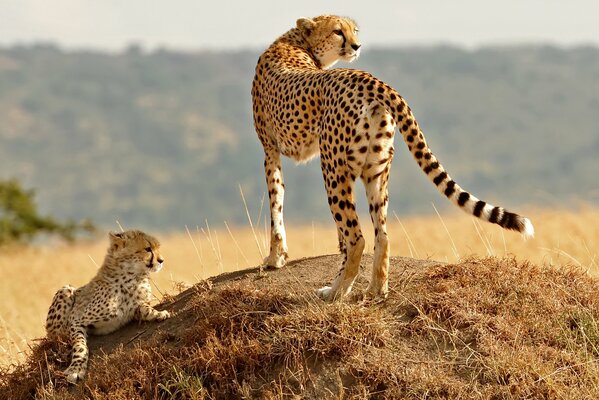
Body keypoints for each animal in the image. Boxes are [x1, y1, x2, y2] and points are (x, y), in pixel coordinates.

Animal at [45, 230, 169, 382]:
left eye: (157, 248)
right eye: (148, 249)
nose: (162, 260)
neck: (132, 277)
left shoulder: (133, 309)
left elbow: (144, 308)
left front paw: (158, 313)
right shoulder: (75, 320)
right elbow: (80, 346)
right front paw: (76, 369)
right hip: (66, 289)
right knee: (54, 335)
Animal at [251, 15, 532, 302]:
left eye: (354, 30)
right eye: (338, 31)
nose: (357, 45)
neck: (296, 42)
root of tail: (368, 78)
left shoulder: (270, 150)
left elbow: (275, 202)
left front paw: (275, 258)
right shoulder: (274, 149)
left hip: (333, 168)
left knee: (357, 238)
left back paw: (336, 291)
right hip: (375, 169)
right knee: (382, 236)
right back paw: (376, 289)